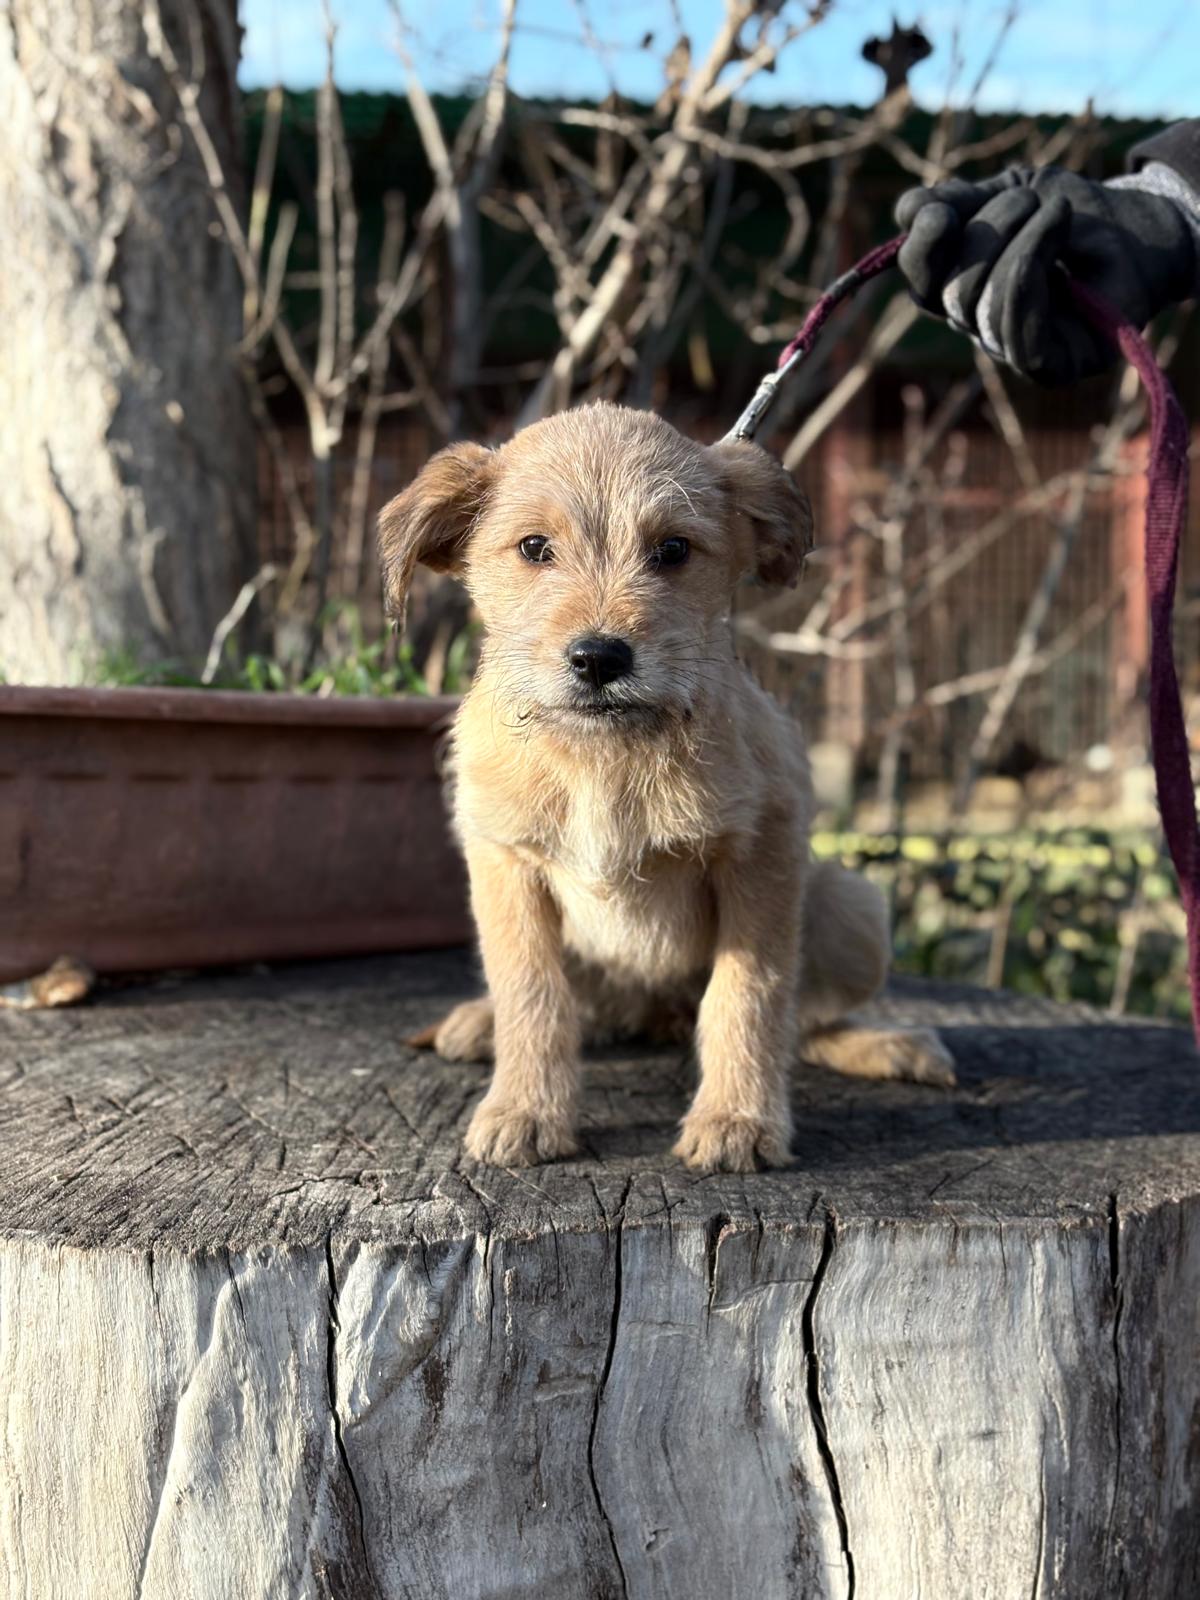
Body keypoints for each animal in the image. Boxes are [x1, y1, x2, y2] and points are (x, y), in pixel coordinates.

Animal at [380, 401, 954, 1172]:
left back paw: (889, 1045)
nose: (599, 658)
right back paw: (479, 1023)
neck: (603, 758)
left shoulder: (760, 858)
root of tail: (658, 1013)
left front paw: (737, 1118)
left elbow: (749, 996)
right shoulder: (507, 865)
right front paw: (526, 1110)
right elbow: (532, 993)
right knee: (581, 1005)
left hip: (852, 904)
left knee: (803, 1020)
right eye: (534, 548)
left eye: (673, 550)